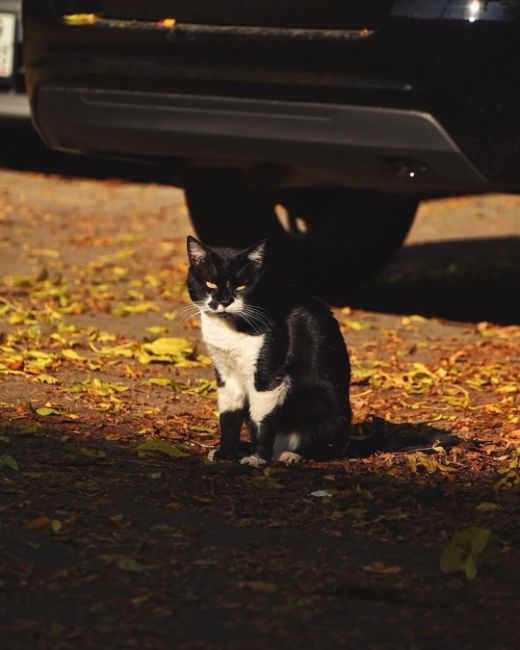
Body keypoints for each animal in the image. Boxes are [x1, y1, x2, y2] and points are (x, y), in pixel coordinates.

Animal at [185, 235, 352, 464]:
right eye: (209, 283)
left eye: (241, 286)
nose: (224, 301)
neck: (229, 328)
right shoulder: (225, 372)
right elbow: (228, 415)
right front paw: (226, 452)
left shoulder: (269, 374)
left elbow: (262, 420)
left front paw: (258, 458)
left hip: (325, 403)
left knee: (325, 446)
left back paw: (289, 455)